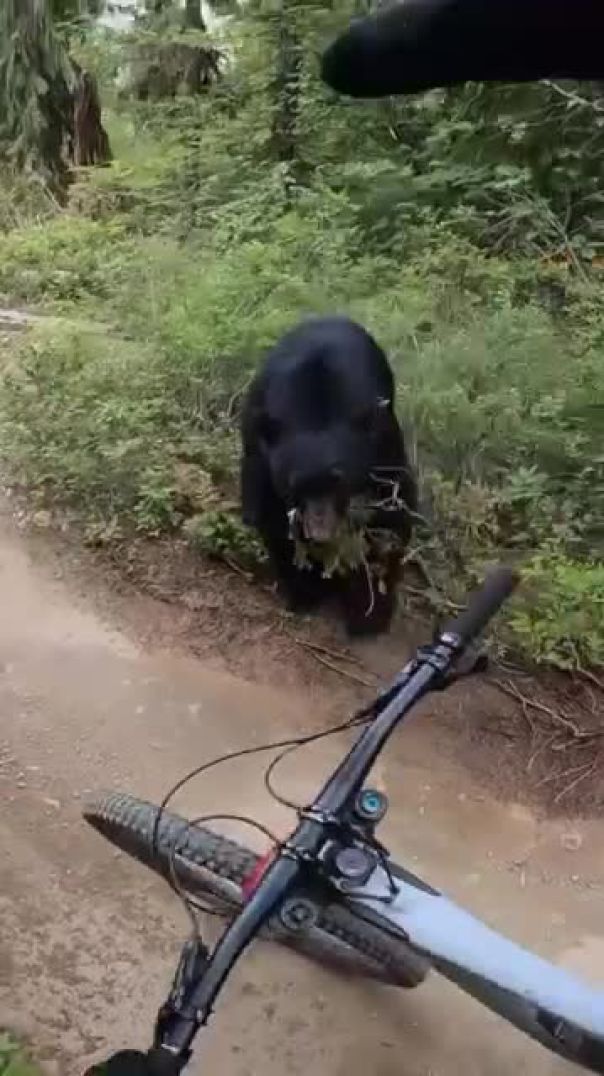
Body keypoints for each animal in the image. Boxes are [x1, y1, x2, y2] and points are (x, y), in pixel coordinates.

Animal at [240, 316, 417, 636]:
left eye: (339, 481)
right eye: (295, 485)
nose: (320, 530)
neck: (315, 414)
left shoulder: (381, 443)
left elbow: (391, 510)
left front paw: (369, 613)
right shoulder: (260, 452)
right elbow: (273, 518)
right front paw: (305, 591)